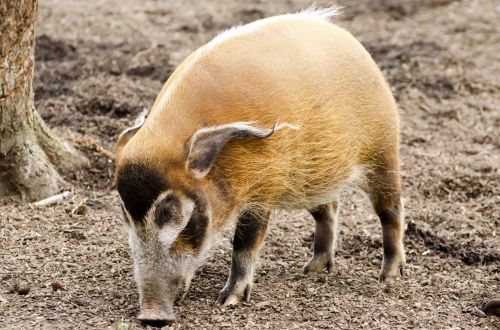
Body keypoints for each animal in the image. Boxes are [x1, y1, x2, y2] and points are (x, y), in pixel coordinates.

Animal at [114, 7, 406, 324]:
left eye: (170, 211)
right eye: (125, 213)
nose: (151, 315)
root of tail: (350, 41)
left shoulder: (262, 188)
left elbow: (245, 242)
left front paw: (228, 301)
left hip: (384, 151)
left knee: (391, 210)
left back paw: (390, 277)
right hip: (315, 179)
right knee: (328, 210)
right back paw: (311, 270)